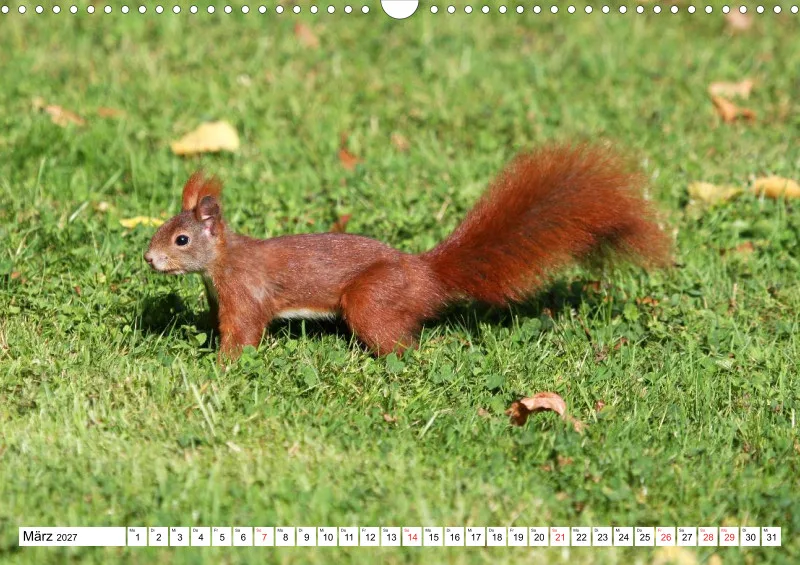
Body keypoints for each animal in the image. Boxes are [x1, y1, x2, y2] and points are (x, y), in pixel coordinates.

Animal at [144, 143, 671, 363]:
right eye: (164, 229)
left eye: (181, 240)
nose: (149, 259)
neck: (223, 262)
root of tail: (427, 275)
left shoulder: (245, 294)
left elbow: (244, 334)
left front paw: (220, 367)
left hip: (371, 300)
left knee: (401, 343)